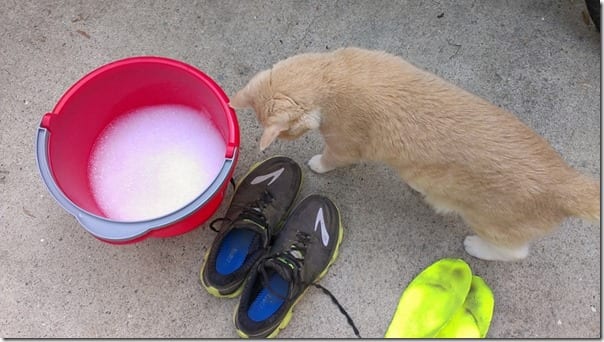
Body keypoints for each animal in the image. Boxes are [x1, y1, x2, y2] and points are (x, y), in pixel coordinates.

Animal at [228, 46, 600, 260]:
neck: (334, 75)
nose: (288, 138)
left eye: (289, 133)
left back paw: (476, 247)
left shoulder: (344, 145)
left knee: (516, 251)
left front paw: (318, 163)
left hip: (489, 222)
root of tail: (568, 182)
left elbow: (331, 156)